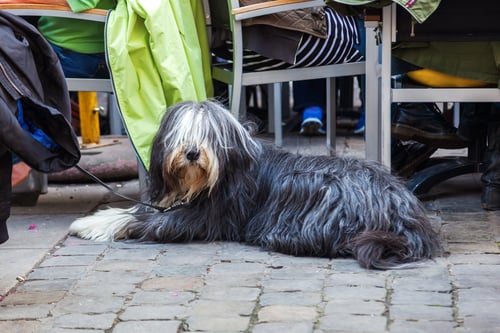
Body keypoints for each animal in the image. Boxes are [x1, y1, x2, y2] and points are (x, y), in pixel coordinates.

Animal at [68, 100, 440, 268]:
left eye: (208, 135)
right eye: (182, 134)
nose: (192, 153)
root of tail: (404, 209)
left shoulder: (206, 217)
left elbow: (141, 220)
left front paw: (89, 224)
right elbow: (138, 210)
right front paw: (95, 218)